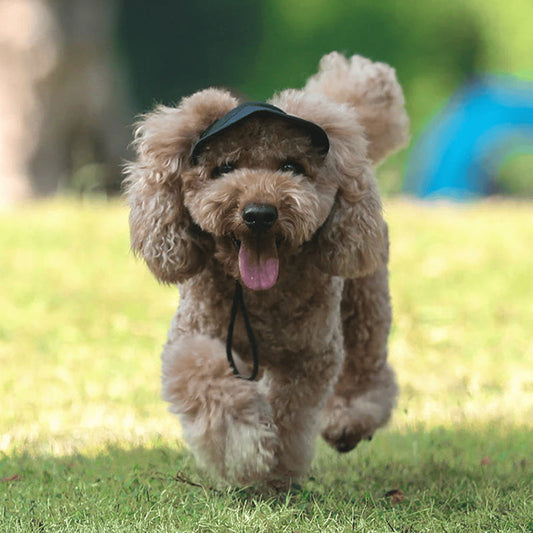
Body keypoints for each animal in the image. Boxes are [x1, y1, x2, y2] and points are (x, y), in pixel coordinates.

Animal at [123, 51, 408, 486]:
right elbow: (203, 376)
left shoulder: (309, 357)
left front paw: (275, 469)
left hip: (365, 301)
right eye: (224, 168)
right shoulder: (194, 337)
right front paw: (245, 449)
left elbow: (290, 414)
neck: (261, 298)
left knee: (368, 366)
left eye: (291, 166)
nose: (259, 214)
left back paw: (349, 420)